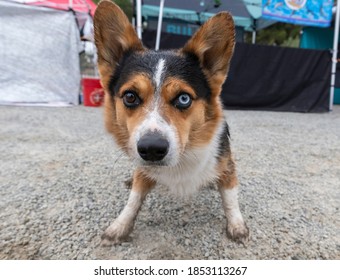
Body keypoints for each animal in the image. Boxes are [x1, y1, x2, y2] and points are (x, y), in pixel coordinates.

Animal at [94, 0, 248, 245]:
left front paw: (237, 226)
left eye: (183, 99)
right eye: (130, 97)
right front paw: (120, 226)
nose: (151, 149)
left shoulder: (226, 165)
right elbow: (134, 199)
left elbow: (230, 198)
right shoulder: (143, 172)